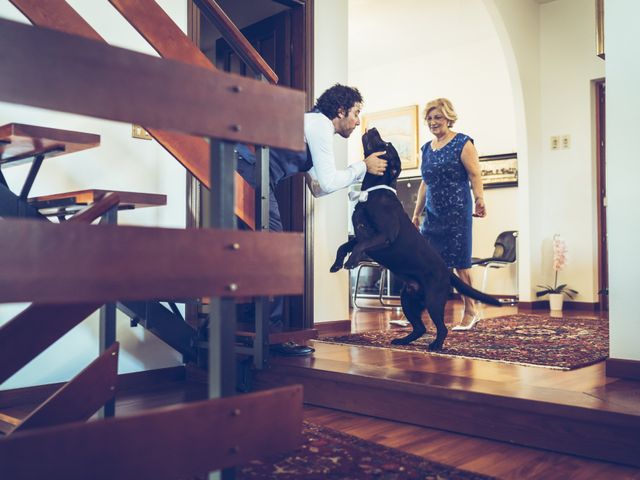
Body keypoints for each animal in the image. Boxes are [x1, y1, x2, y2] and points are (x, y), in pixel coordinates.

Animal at [332, 127, 502, 350]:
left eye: (386, 145)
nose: (374, 128)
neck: (373, 192)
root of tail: (447, 272)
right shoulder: (358, 234)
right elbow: (344, 246)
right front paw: (336, 264)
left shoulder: (385, 235)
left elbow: (361, 245)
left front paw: (351, 262)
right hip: (408, 298)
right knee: (420, 328)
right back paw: (402, 340)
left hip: (433, 300)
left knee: (441, 328)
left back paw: (435, 346)